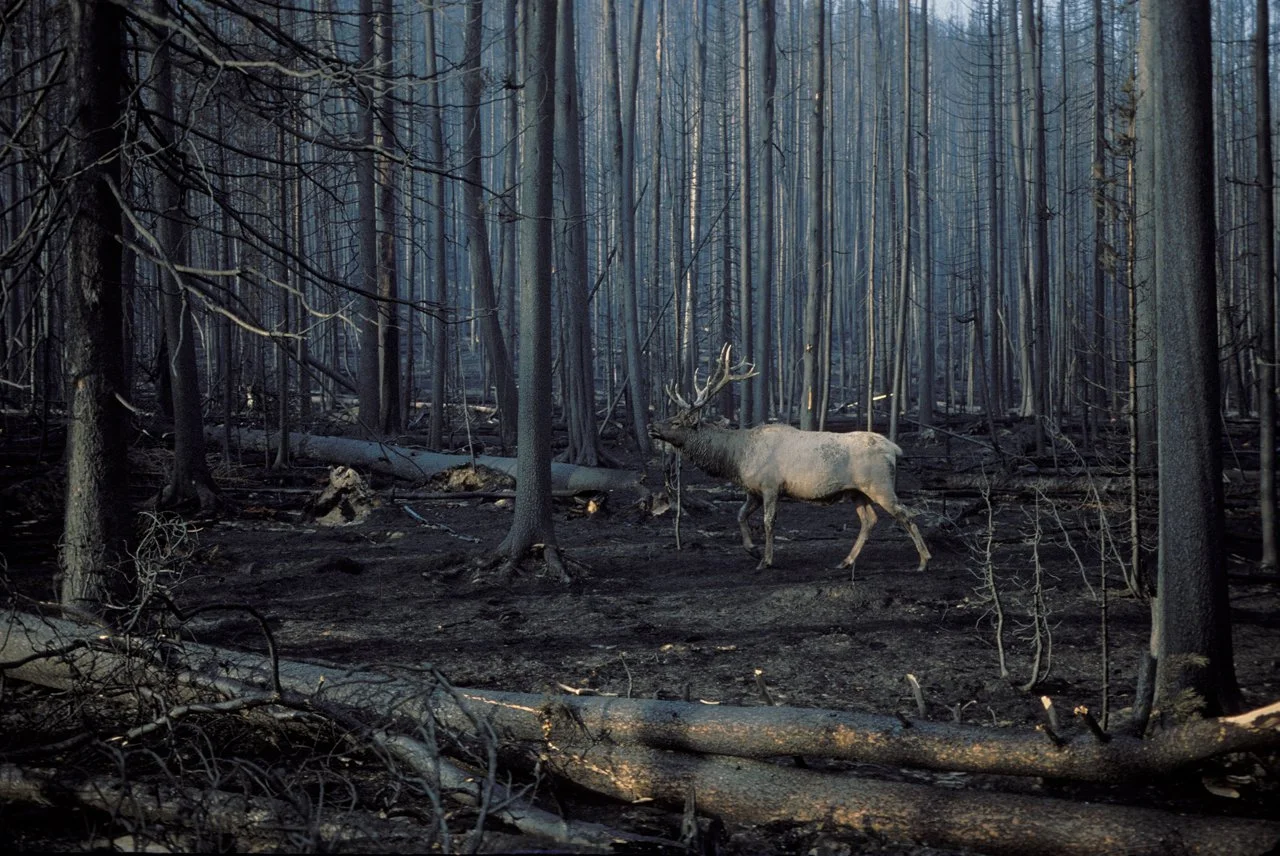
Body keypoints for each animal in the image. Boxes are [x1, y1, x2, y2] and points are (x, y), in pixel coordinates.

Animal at [647, 344, 931, 579]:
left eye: (676, 421)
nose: (652, 426)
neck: (737, 458)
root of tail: (894, 448)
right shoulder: (753, 490)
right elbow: (740, 515)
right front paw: (752, 549)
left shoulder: (771, 485)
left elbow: (768, 522)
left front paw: (765, 560)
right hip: (856, 492)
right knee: (869, 520)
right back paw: (845, 561)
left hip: (879, 485)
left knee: (906, 513)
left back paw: (923, 561)